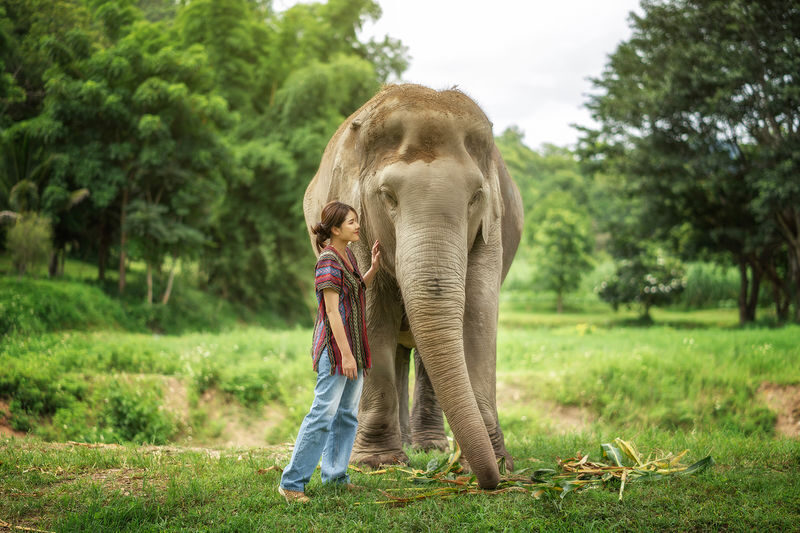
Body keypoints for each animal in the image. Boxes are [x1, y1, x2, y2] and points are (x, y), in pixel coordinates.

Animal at [303, 84, 523, 489]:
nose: (491, 481)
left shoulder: (493, 225)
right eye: (388, 195)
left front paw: (498, 462)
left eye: (475, 196)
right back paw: (406, 448)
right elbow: (372, 313)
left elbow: (479, 315)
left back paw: (430, 448)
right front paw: (379, 463)